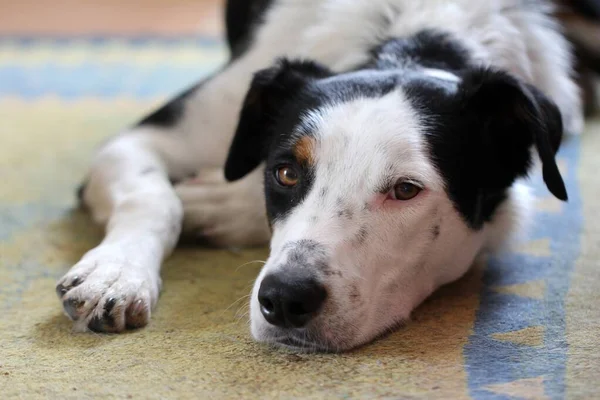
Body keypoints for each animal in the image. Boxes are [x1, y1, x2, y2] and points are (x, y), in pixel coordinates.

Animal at [58, 0, 588, 350]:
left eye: (406, 190)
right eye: (286, 173)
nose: (283, 299)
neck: (413, 34)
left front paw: (215, 204)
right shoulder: (142, 140)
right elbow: (154, 196)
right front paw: (115, 273)